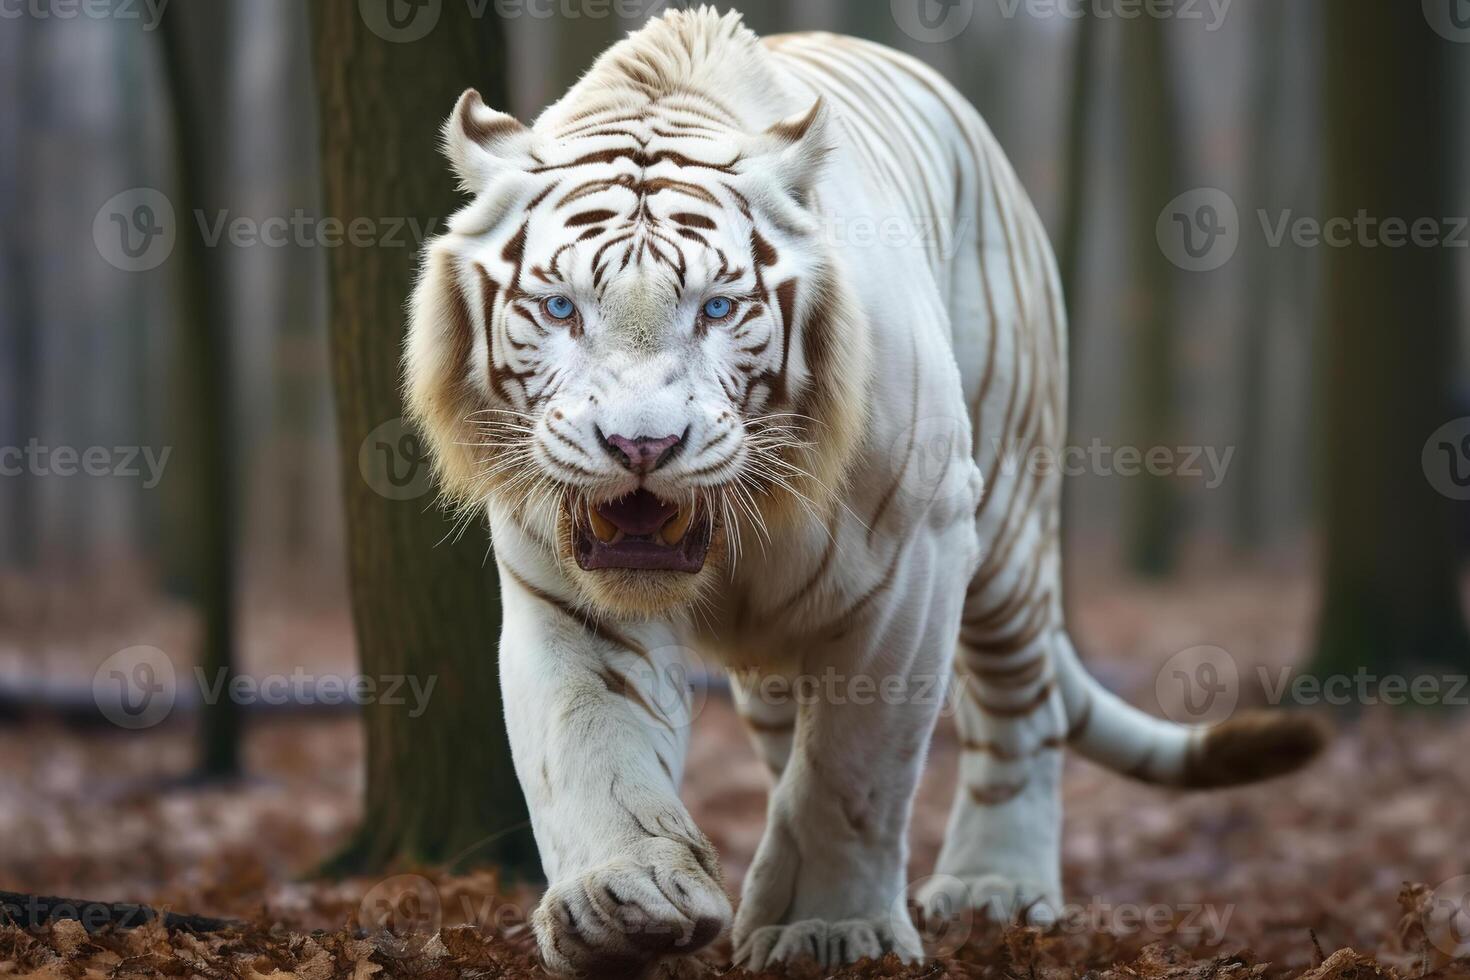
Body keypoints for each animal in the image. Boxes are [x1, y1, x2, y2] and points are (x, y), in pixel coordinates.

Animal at [402, 5, 1323, 975]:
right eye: (562, 309)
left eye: (717, 309)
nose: (640, 445)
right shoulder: (564, 581)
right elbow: (591, 739)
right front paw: (627, 904)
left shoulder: (915, 561)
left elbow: (852, 769)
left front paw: (826, 929)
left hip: (1006, 512)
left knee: (1018, 704)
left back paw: (997, 887)